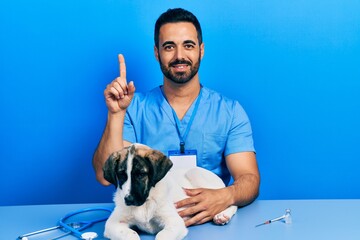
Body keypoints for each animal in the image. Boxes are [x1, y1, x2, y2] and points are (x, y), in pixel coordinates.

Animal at [102, 143, 238, 239]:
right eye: (121, 175)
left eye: (141, 174)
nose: (128, 199)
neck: (146, 203)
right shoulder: (112, 224)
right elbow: (130, 235)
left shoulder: (175, 222)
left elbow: (162, 235)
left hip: (196, 174)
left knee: (228, 200)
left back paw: (223, 215)